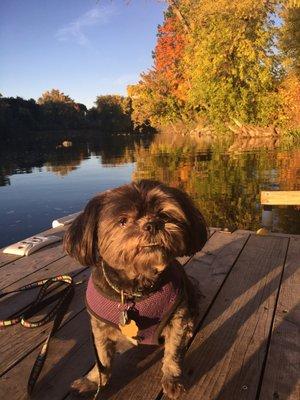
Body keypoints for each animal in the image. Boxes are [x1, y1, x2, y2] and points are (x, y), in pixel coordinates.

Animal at [64, 180, 207, 398]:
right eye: (123, 221)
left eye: (164, 215)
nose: (153, 224)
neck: (133, 290)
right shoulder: (99, 328)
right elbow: (102, 358)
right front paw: (94, 381)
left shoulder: (178, 319)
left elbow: (173, 353)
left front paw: (172, 379)